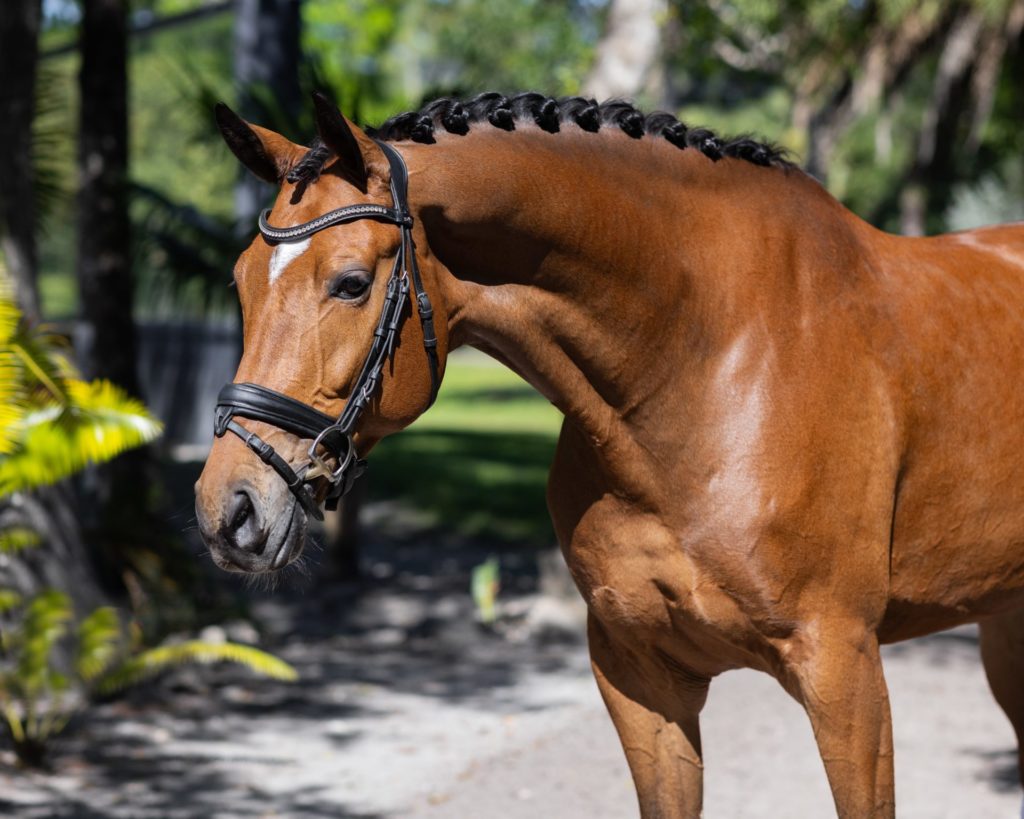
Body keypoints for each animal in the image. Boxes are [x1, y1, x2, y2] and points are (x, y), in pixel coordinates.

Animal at [195, 92, 1024, 814]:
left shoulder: (844, 670)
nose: (228, 510)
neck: (705, 362)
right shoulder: (639, 675)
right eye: (239, 281)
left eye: (351, 282)